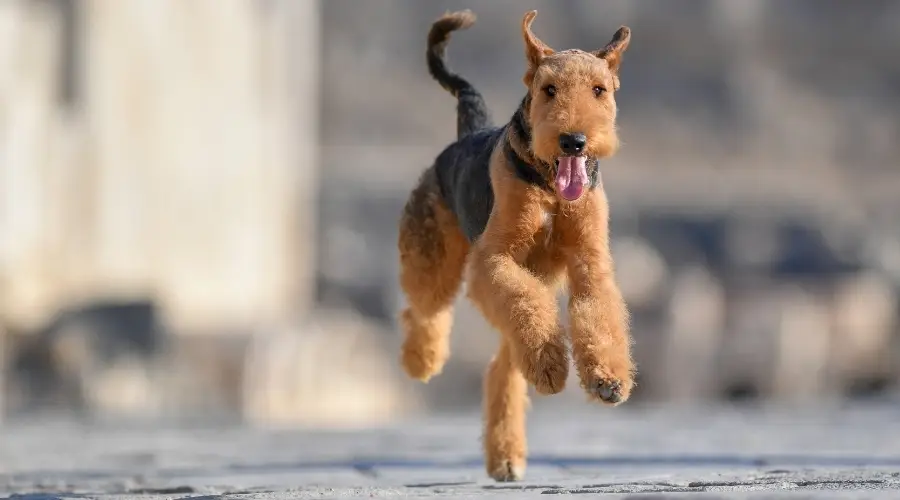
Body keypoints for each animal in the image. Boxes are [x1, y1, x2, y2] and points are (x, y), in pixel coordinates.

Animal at [398, 9, 636, 482]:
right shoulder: (495, 259)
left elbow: (598, 312)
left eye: (599, 90)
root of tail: (466, 133)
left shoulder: (590, 260)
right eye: (549, 89)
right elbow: (522, 300)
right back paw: (425, 360)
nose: (573, 140)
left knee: (504, 364)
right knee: (424, 309)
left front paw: (608, 379)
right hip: (435, 256)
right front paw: (557, 366)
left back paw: (509, 448)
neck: (548, 187)